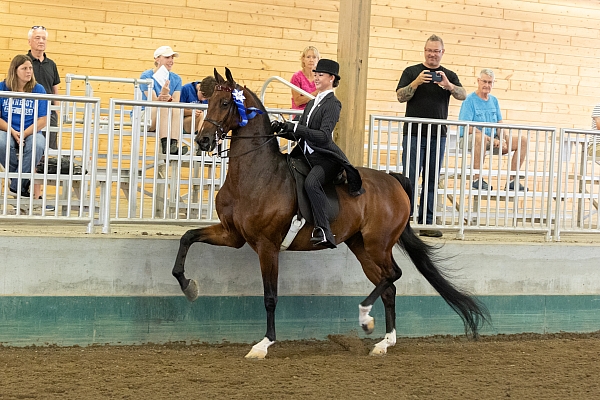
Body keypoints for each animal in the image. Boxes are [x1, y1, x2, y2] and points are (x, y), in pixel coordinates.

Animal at [170, 69, 488, 360]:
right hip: (361, 246)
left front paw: (264, 344)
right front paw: (189, 287)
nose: (203, 141)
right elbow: (187, 238)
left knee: (393, 275)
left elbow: (270, 297)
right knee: (388, 286)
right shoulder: (232, 234)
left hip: (378, 243)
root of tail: (394, 181)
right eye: (209, 101)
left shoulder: (267, 246)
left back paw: (365, 316)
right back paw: (384, 341)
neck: (255, 174)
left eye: (225, 103)